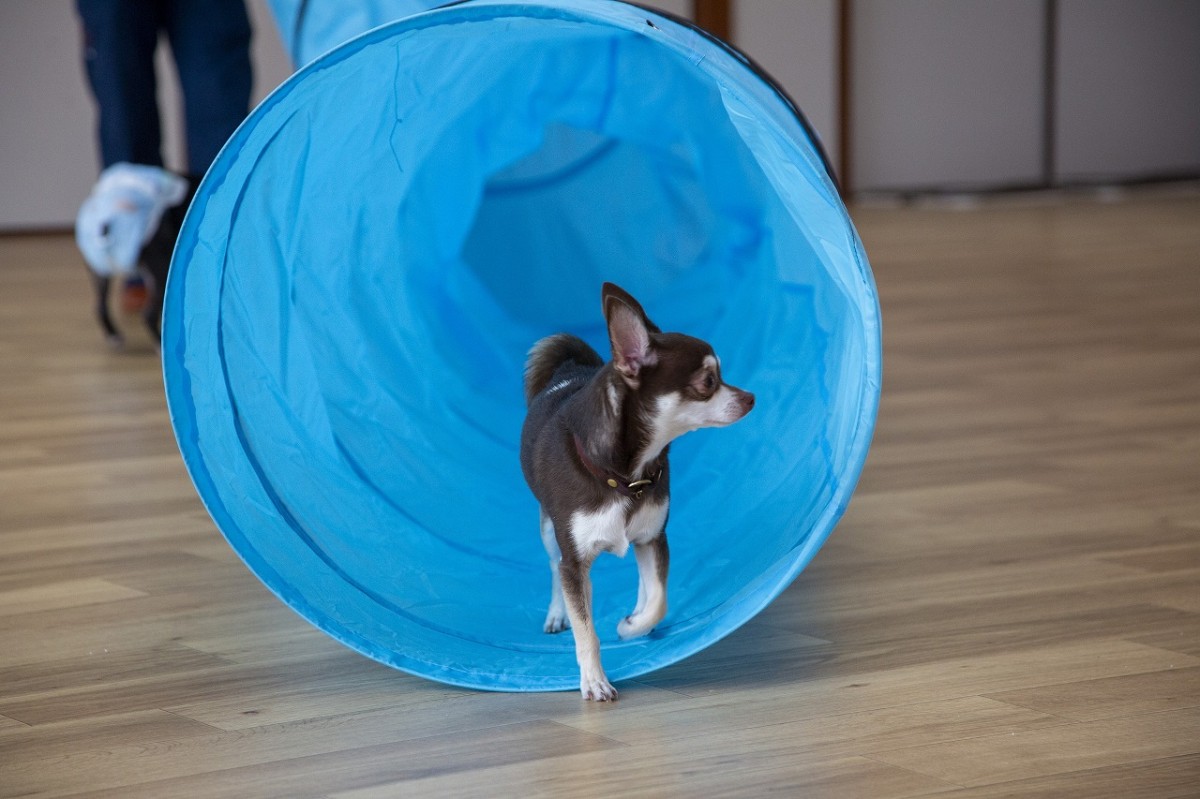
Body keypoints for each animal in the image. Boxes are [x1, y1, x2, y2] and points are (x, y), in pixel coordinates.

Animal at [520, 281, 753, 695]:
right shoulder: (574, 561)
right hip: (549, 530)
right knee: (553, 569)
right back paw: (556, 614)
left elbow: (659, 598)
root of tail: (570, 368)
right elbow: (586, 630)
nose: (750, 397)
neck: (627, 476)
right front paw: (594, 681)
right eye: (709, 382)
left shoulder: (652, 539)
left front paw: (632, 625)